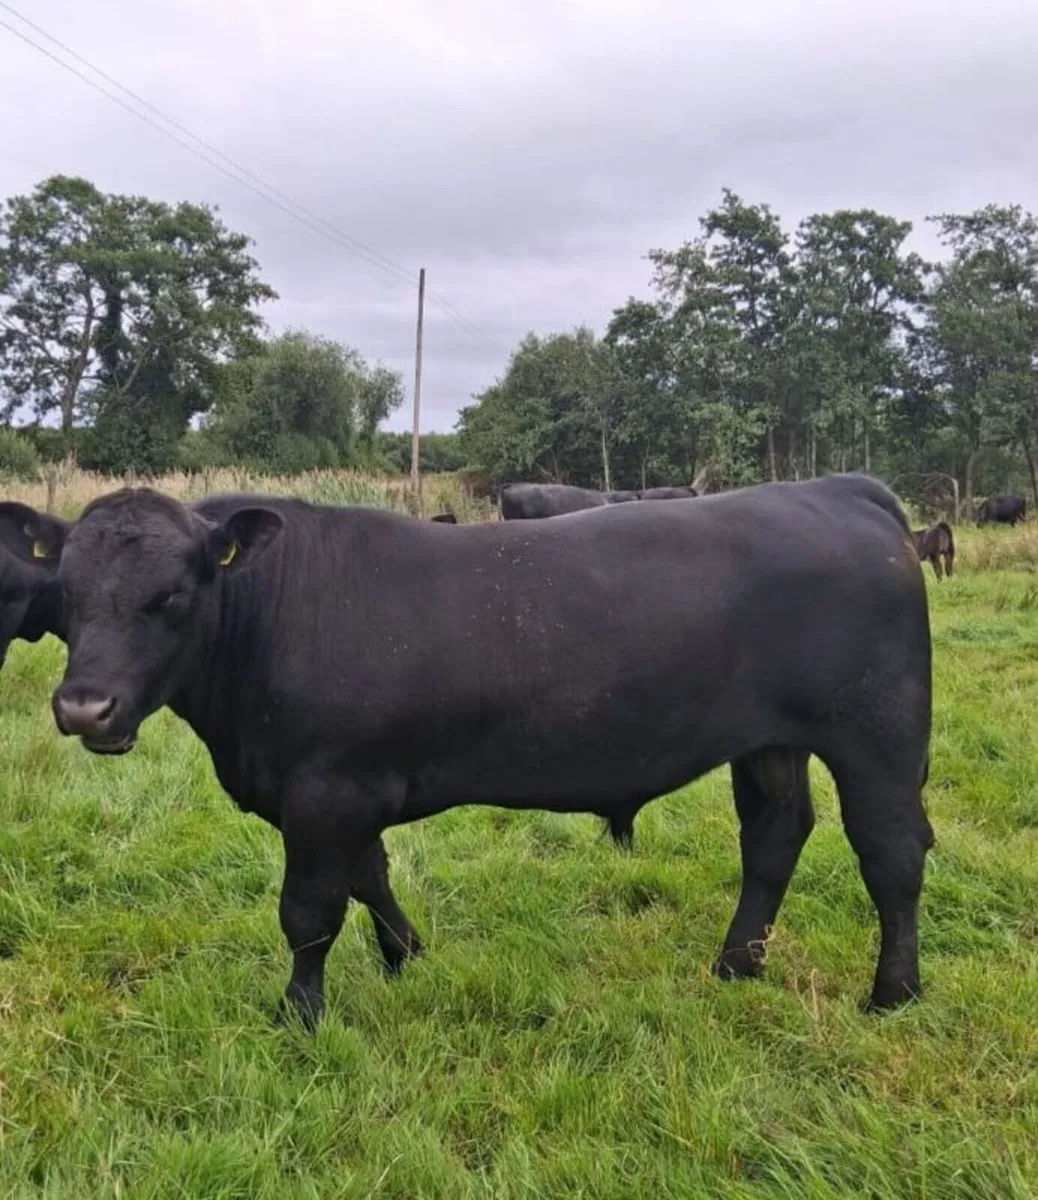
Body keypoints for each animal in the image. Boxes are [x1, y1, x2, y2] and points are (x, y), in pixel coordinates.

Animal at [27, 473, 932, 1029]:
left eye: (171, 595)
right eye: (64, 594)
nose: (83, 706)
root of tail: (840, 489)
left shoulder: (323, 791)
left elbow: (310, 912)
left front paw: (299, 1016)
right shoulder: (344, 792)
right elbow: (369, 877)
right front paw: (406, 955)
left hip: (878, 737)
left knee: (891, 852)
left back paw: (892, 994)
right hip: (770, 741)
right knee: (775, 835)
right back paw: (736, 966)